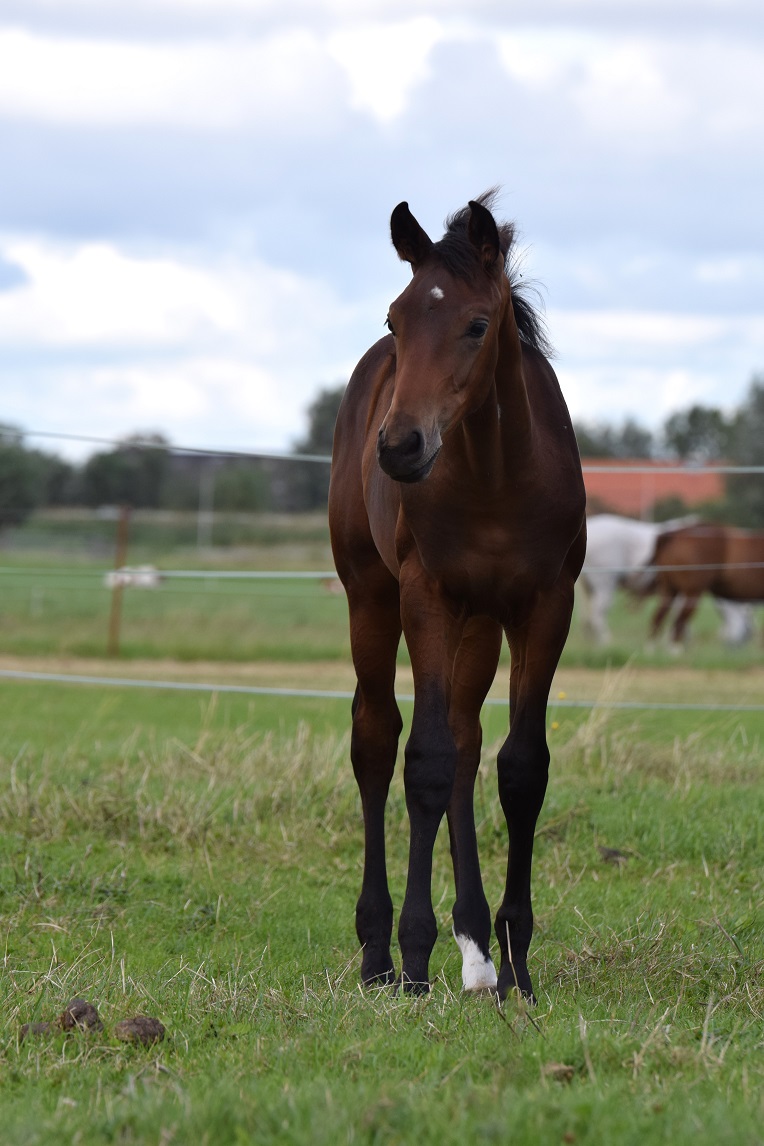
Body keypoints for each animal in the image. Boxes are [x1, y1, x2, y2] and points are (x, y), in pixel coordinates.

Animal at [329, 192, 586, 999]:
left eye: (477, 325)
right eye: (395, 320)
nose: (399, 447)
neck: (498, 479)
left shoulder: (546, 606)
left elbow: (520, 766)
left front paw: (516, 962)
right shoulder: (428, 596)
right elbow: (426, 761)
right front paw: (415, 954)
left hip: (480, 623)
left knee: (471, 741)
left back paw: (477, 953)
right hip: (372, 597)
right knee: (378, 738)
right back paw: (379, 952)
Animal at [579, 517, 751, 650]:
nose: (745, 640)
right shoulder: (684, 590)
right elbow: (678, 616)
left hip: (590, 588)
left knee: (588, 616)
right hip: (605, 585)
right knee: (597, 614)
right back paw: (605, 640)